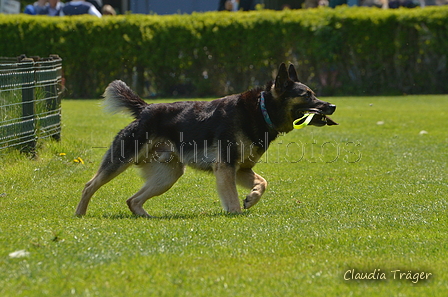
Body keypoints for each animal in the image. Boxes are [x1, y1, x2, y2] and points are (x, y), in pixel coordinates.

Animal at [76, 62, 336, 216]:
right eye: (307, 95)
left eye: (314, 93)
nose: (332, 106)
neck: (261, 110)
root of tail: (145, 109)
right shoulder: (226, 167)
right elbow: (232, 201)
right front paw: (237, 213)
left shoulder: (241, 169)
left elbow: (263, 182)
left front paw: (251, 199)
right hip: (121, 161)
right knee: (90, 185)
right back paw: (80, 214)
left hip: (168, 176)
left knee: (133, 200)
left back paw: (146, 218)